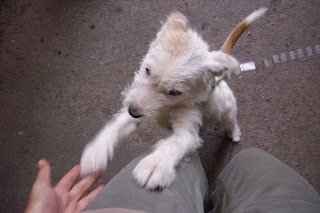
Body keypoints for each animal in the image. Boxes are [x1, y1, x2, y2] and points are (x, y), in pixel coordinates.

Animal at [80, 7, 268, 189]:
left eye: (174, 92)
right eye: (147, 69)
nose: (133, 111)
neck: (170, 107)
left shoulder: (187, 131)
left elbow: (174, 144)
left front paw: (154, 166)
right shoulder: (139, 112)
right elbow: (116, 126)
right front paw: (96, 152)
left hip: (227, 104)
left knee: (231, 118)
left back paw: (234, 132)